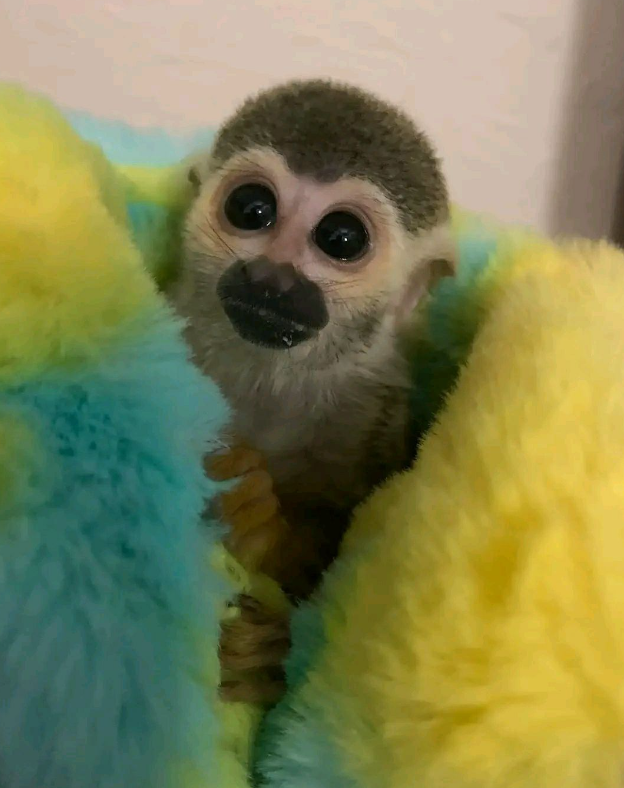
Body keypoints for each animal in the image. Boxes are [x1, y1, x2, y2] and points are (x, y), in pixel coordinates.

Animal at [168, 79, 455, 703]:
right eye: (251, 209)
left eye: (341, 239)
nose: (272, 278)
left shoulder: (372, 414)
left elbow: (333, 550)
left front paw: (255, 518)